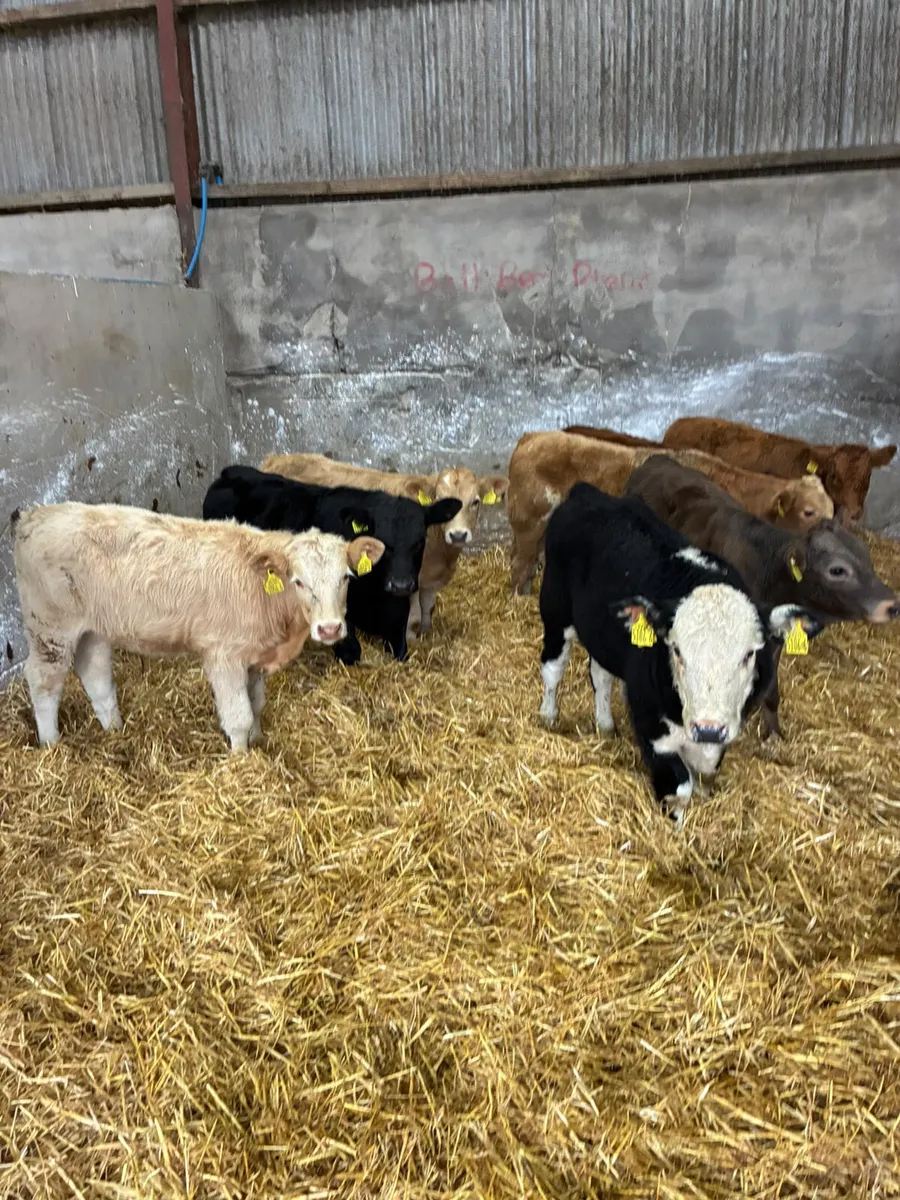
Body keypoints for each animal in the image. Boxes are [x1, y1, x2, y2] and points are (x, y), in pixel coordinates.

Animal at [12, 502, 385, 751]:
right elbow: (239, 716)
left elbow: (256, 705)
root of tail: (35, 515)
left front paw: (258, 740)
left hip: (92, 629)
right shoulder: (224, 655)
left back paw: (116, 731)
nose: (330, 629)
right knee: (43, 682)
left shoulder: (255, 657)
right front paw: (243, 759)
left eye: (346, 578)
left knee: (97, 678)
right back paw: (51, 746)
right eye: (298, 581)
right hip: (50, 629)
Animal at [261, 453, 508, 640]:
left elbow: (427, 612)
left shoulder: (430, 582)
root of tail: (276, 458)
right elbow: (412, 618)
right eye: (440, 499)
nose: (457, 534)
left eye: (475, 501)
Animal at [539, 482, 820, 830]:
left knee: (601, 675)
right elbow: (678, 789)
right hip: (555, 612)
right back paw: (549, 715)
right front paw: (674, 830)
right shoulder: (652, 727)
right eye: (677, 650)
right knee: (553, 669)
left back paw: (605, 725)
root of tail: (587, 492)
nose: (708, 728)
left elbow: (705, 773)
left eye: (749, 654)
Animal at [624, 454, 900, 737]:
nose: (891, 605)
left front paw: (773, 730)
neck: (769, 571)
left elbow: (770, 688)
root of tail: (658, 459)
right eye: (837, 570)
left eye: (867, 559)